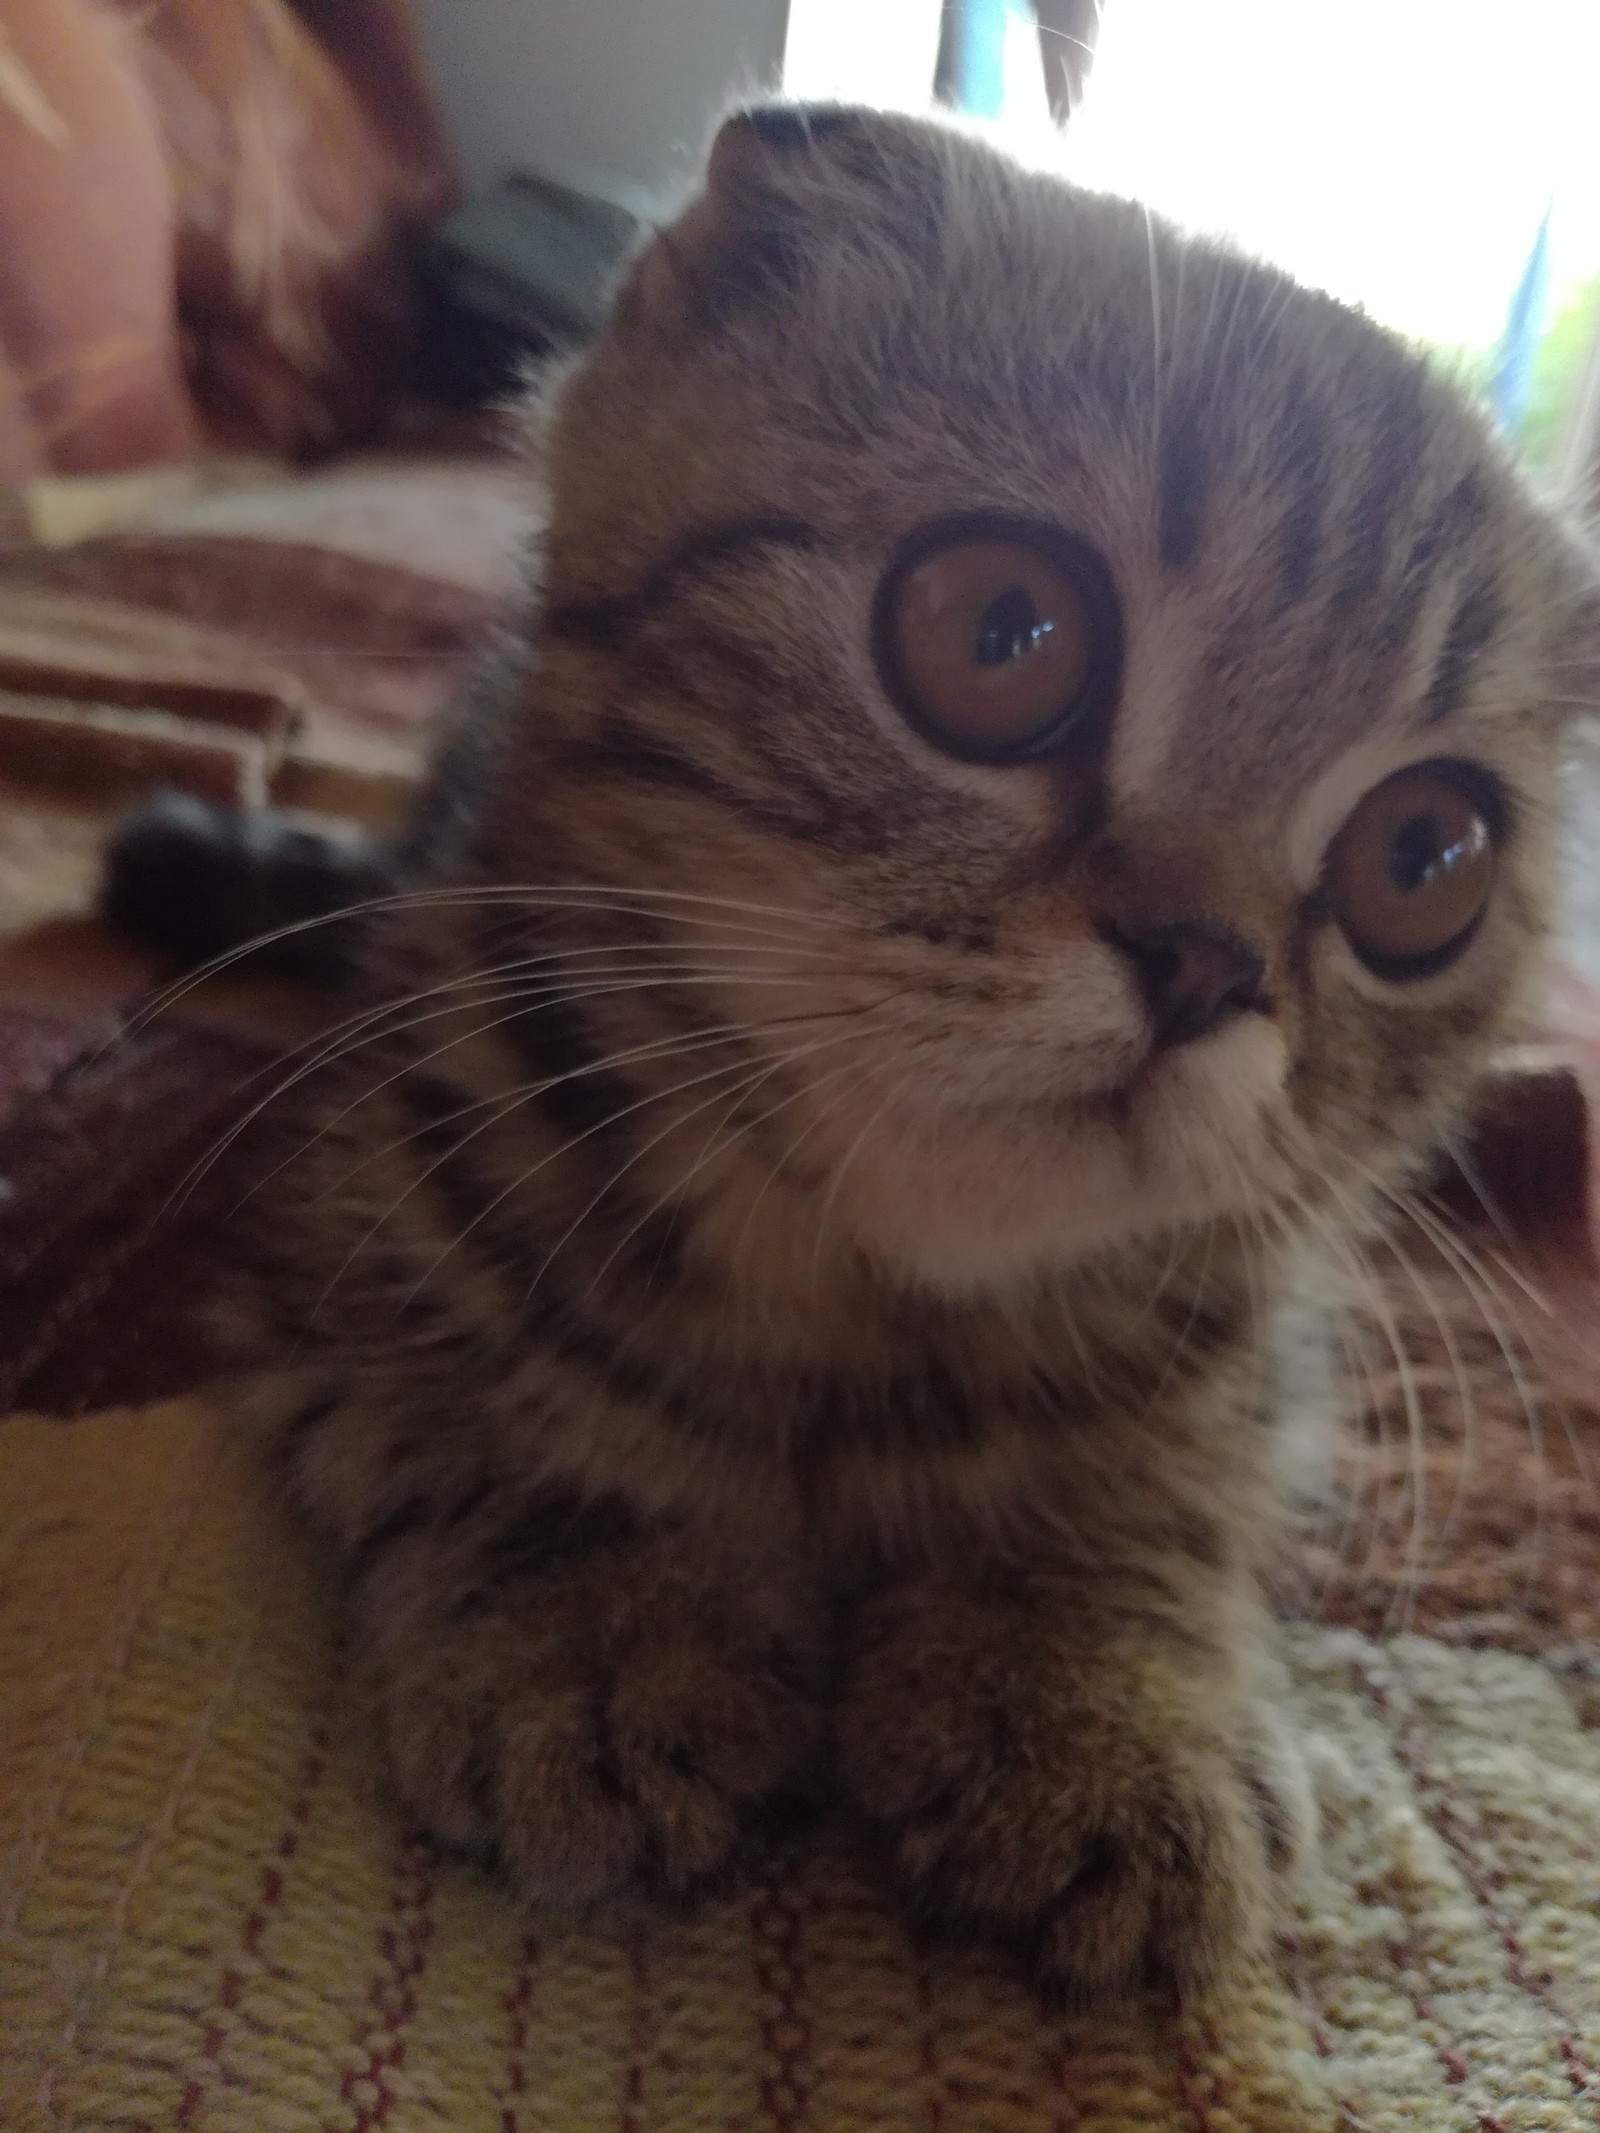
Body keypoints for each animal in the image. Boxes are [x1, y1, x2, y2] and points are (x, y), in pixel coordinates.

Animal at [109, 100, 1600, 1996]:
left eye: (1426, 860)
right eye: (1001, 633)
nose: (1203, 964)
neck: (865, 1312)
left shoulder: (1258, 1346)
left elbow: (1174, 1487)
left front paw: (1096, 1689)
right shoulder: (331, 1227)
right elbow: (452, 1405)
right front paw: (594, 1611)